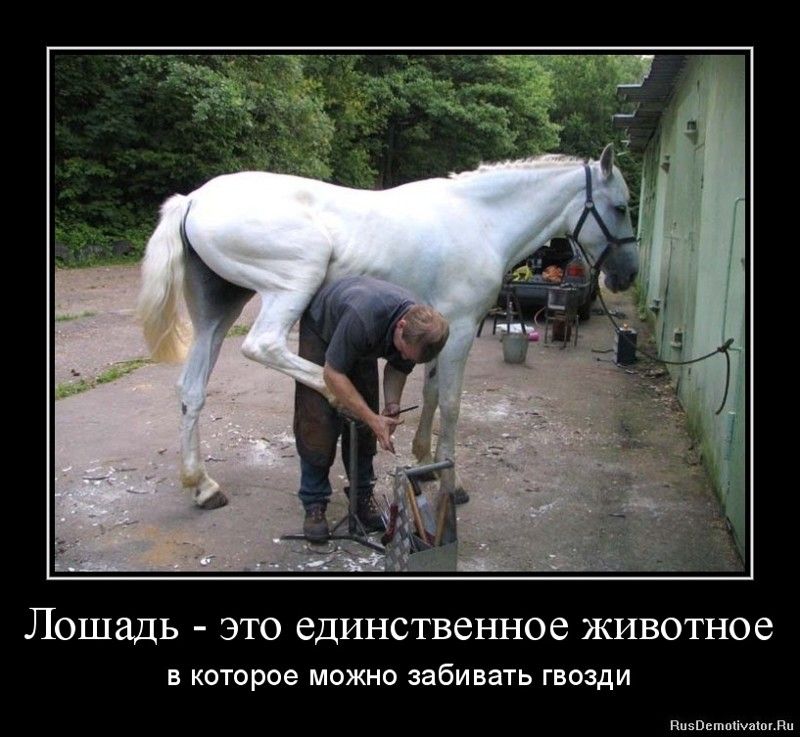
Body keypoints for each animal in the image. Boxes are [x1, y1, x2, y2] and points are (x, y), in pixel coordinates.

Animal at [137, 144, 638, 511]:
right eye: (620, 207)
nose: (627, 275)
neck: (479, 220)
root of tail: (194, 199)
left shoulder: (443, 333)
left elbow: (431, 395)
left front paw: (423, 465)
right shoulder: (459, 331)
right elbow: (452, 405)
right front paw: (450, 481)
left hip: (217, 311)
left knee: (192, 389)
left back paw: (202, 485)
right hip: (293, 282)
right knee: (264, 346)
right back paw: (335, 393)